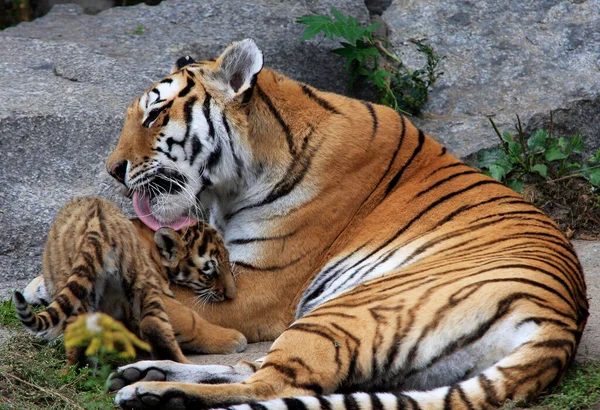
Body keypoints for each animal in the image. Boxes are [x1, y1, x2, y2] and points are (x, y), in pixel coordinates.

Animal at [103, 39, 584, 410]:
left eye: (154, 116)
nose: (113, 171)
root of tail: (560, 327)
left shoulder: (252, 287)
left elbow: (175, 299)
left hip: (343, 309)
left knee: (272, 385)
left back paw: (157, 393)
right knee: (250, 369)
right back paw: (141, 374)